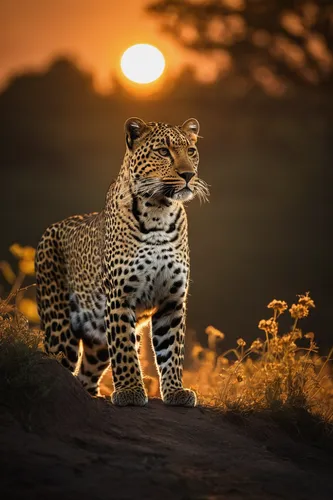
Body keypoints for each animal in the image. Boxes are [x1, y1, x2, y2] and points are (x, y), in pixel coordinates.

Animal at [35, 117, 208, 406]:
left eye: (191, 151)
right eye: (164, 151)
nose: (188, 175)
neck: (160, 212)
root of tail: (49, 229)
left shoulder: (172, 300)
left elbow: (172, 350)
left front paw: (175, 392)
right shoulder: (120, 297)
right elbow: (125, 350)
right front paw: (130, 392)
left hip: (96, 341)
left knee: (86, 375)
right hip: (60, 330)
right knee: (57, 363)